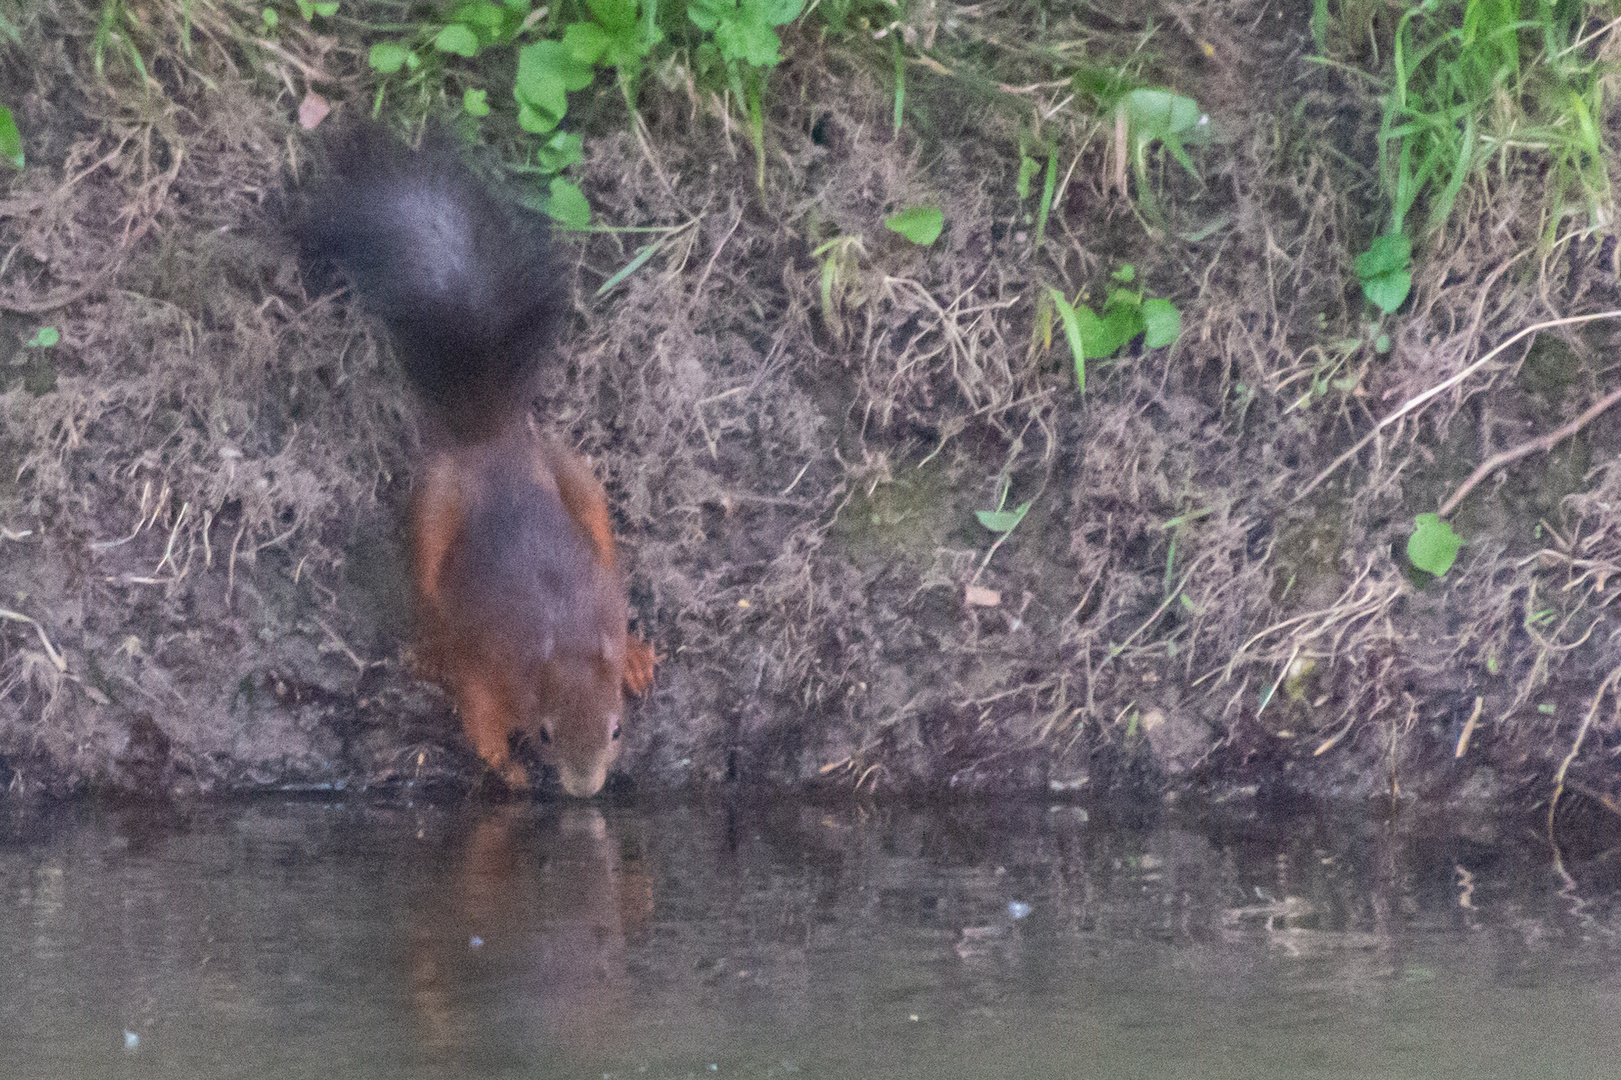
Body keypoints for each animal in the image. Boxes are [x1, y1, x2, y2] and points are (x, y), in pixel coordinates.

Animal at [301, 128, 654, 797]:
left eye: (618, 729)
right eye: (545, 733)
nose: (585, 789)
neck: (562, 642)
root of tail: (489, 445)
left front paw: (635, 660)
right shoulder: (484, 664)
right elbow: (479, 719)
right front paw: (508, 771)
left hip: (575, 476)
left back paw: (639, 655)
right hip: (433, 514)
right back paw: (426, 649)